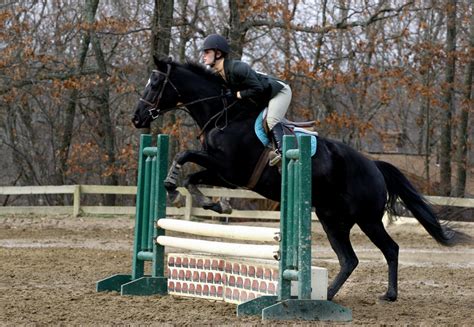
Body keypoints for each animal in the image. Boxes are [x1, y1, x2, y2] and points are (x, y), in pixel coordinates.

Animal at [132, 56, 466, 302]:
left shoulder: (230, 170)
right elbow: (193, 175)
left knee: (390, 249)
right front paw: (209, 203)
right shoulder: (224, 174)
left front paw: (173, 187)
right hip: (333, 219)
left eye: (156, 83)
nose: (137, 118)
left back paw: (389, 294)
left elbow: (185, 155)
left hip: (367, 218)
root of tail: (373, 164)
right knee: (349, 260)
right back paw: (326, 295)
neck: (223, 114)